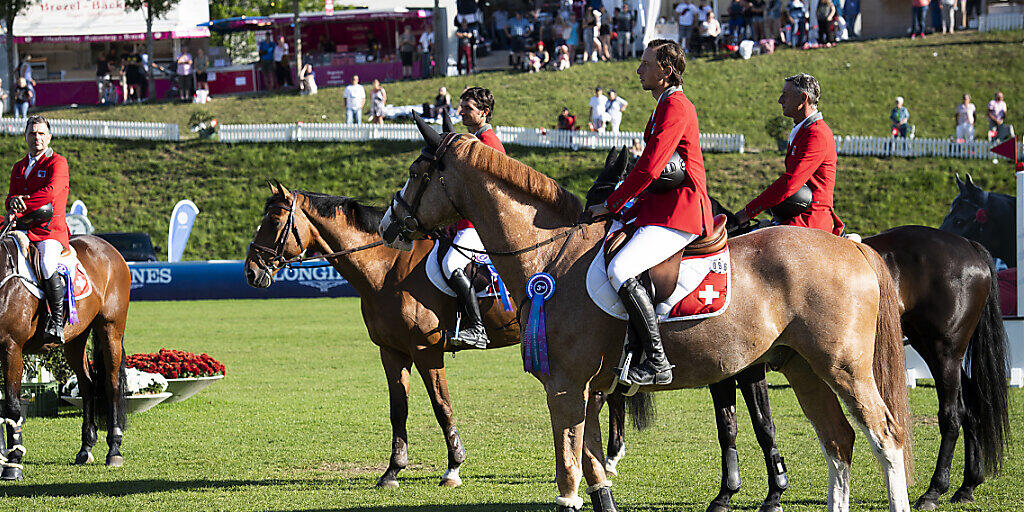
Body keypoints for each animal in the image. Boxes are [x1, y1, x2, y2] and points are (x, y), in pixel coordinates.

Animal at [0, 222, 131, 477]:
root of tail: (108, 248)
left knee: (111, 384)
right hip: (75, 338)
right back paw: (86, 448)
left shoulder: (11, 347)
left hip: (110, 328)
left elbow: (11, 403)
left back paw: (114, 450)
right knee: (87, 384)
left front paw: (13, 462)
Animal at [380, 125, 917, 512]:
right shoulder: (589, 391)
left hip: (844, 369)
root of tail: (850, 245)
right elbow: (595, 472)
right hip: (802, 367)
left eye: (417, 171)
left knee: (885, 437)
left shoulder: (566, 388)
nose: (388, 223)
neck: (549, 257)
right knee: (839, 441)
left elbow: (569, 477)